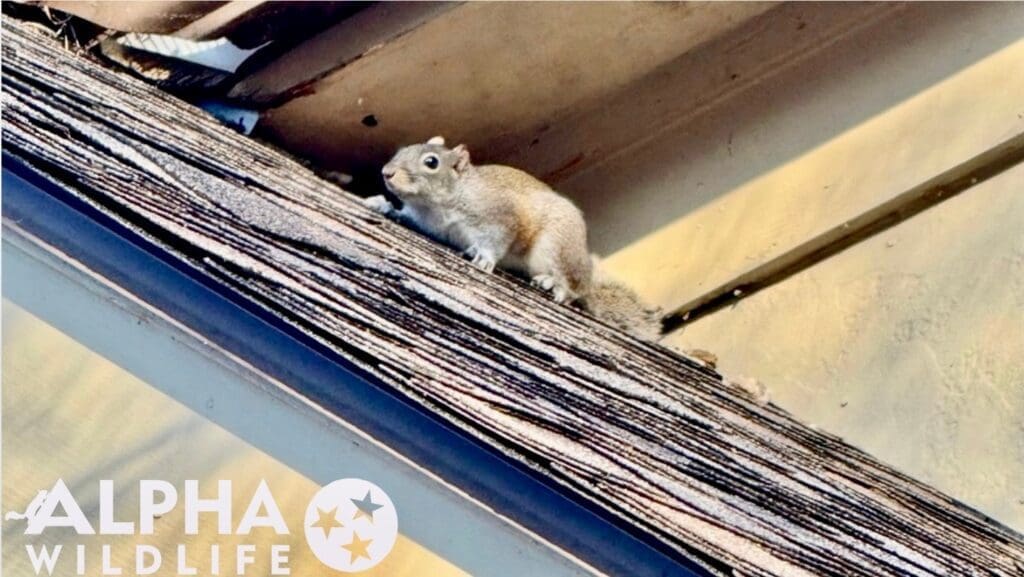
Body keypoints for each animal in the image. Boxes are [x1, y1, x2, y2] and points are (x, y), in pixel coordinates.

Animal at [364, 136, 661, 339]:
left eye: (431, 162)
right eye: (402, 151)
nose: (387, 172)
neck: (438, 206)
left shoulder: (501, 216)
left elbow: (498, 239)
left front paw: (484, 258)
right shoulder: (426, 222)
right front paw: (383, 205)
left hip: (558, 246)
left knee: (574, 288)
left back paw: (554, 284)